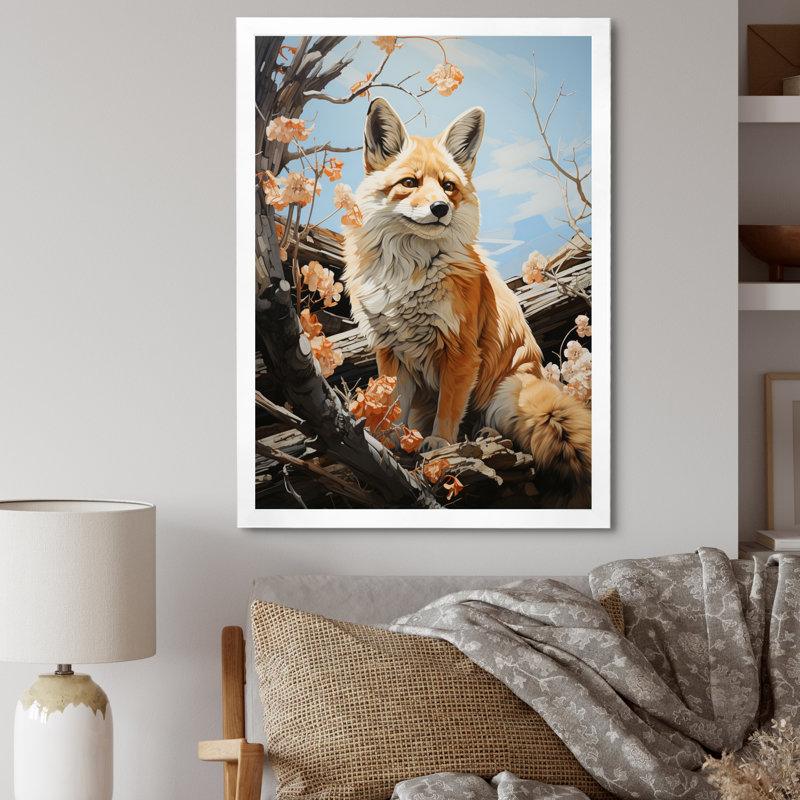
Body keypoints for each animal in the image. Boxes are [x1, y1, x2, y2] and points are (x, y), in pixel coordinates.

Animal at [342, 97, 592, 507]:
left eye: (448, 186)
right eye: (409, 183)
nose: (440, 208)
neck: (409, 274)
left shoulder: (460, 352)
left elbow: (448, 410)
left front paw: (440, 445)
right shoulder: (391, 352)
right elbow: (392, 409)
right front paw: (386, 444)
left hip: (506, 396)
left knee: (495, 425)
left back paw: (485, 437)